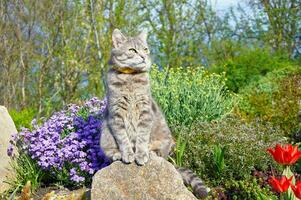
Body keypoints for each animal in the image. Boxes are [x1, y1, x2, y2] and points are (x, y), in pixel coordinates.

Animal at [99, 28, 207, 198]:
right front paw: (128, 153)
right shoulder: (116, 114)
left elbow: (142, 137)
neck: (130, 78)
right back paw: (117, 154)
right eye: (132, 50)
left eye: (145, 49)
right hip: (105, 135)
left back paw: (152, 153)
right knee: (109, 151)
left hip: (165, 139)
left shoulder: (145, 112)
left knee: (160, 152)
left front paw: (141, 154)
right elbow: (123, 138)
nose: (144, 57)